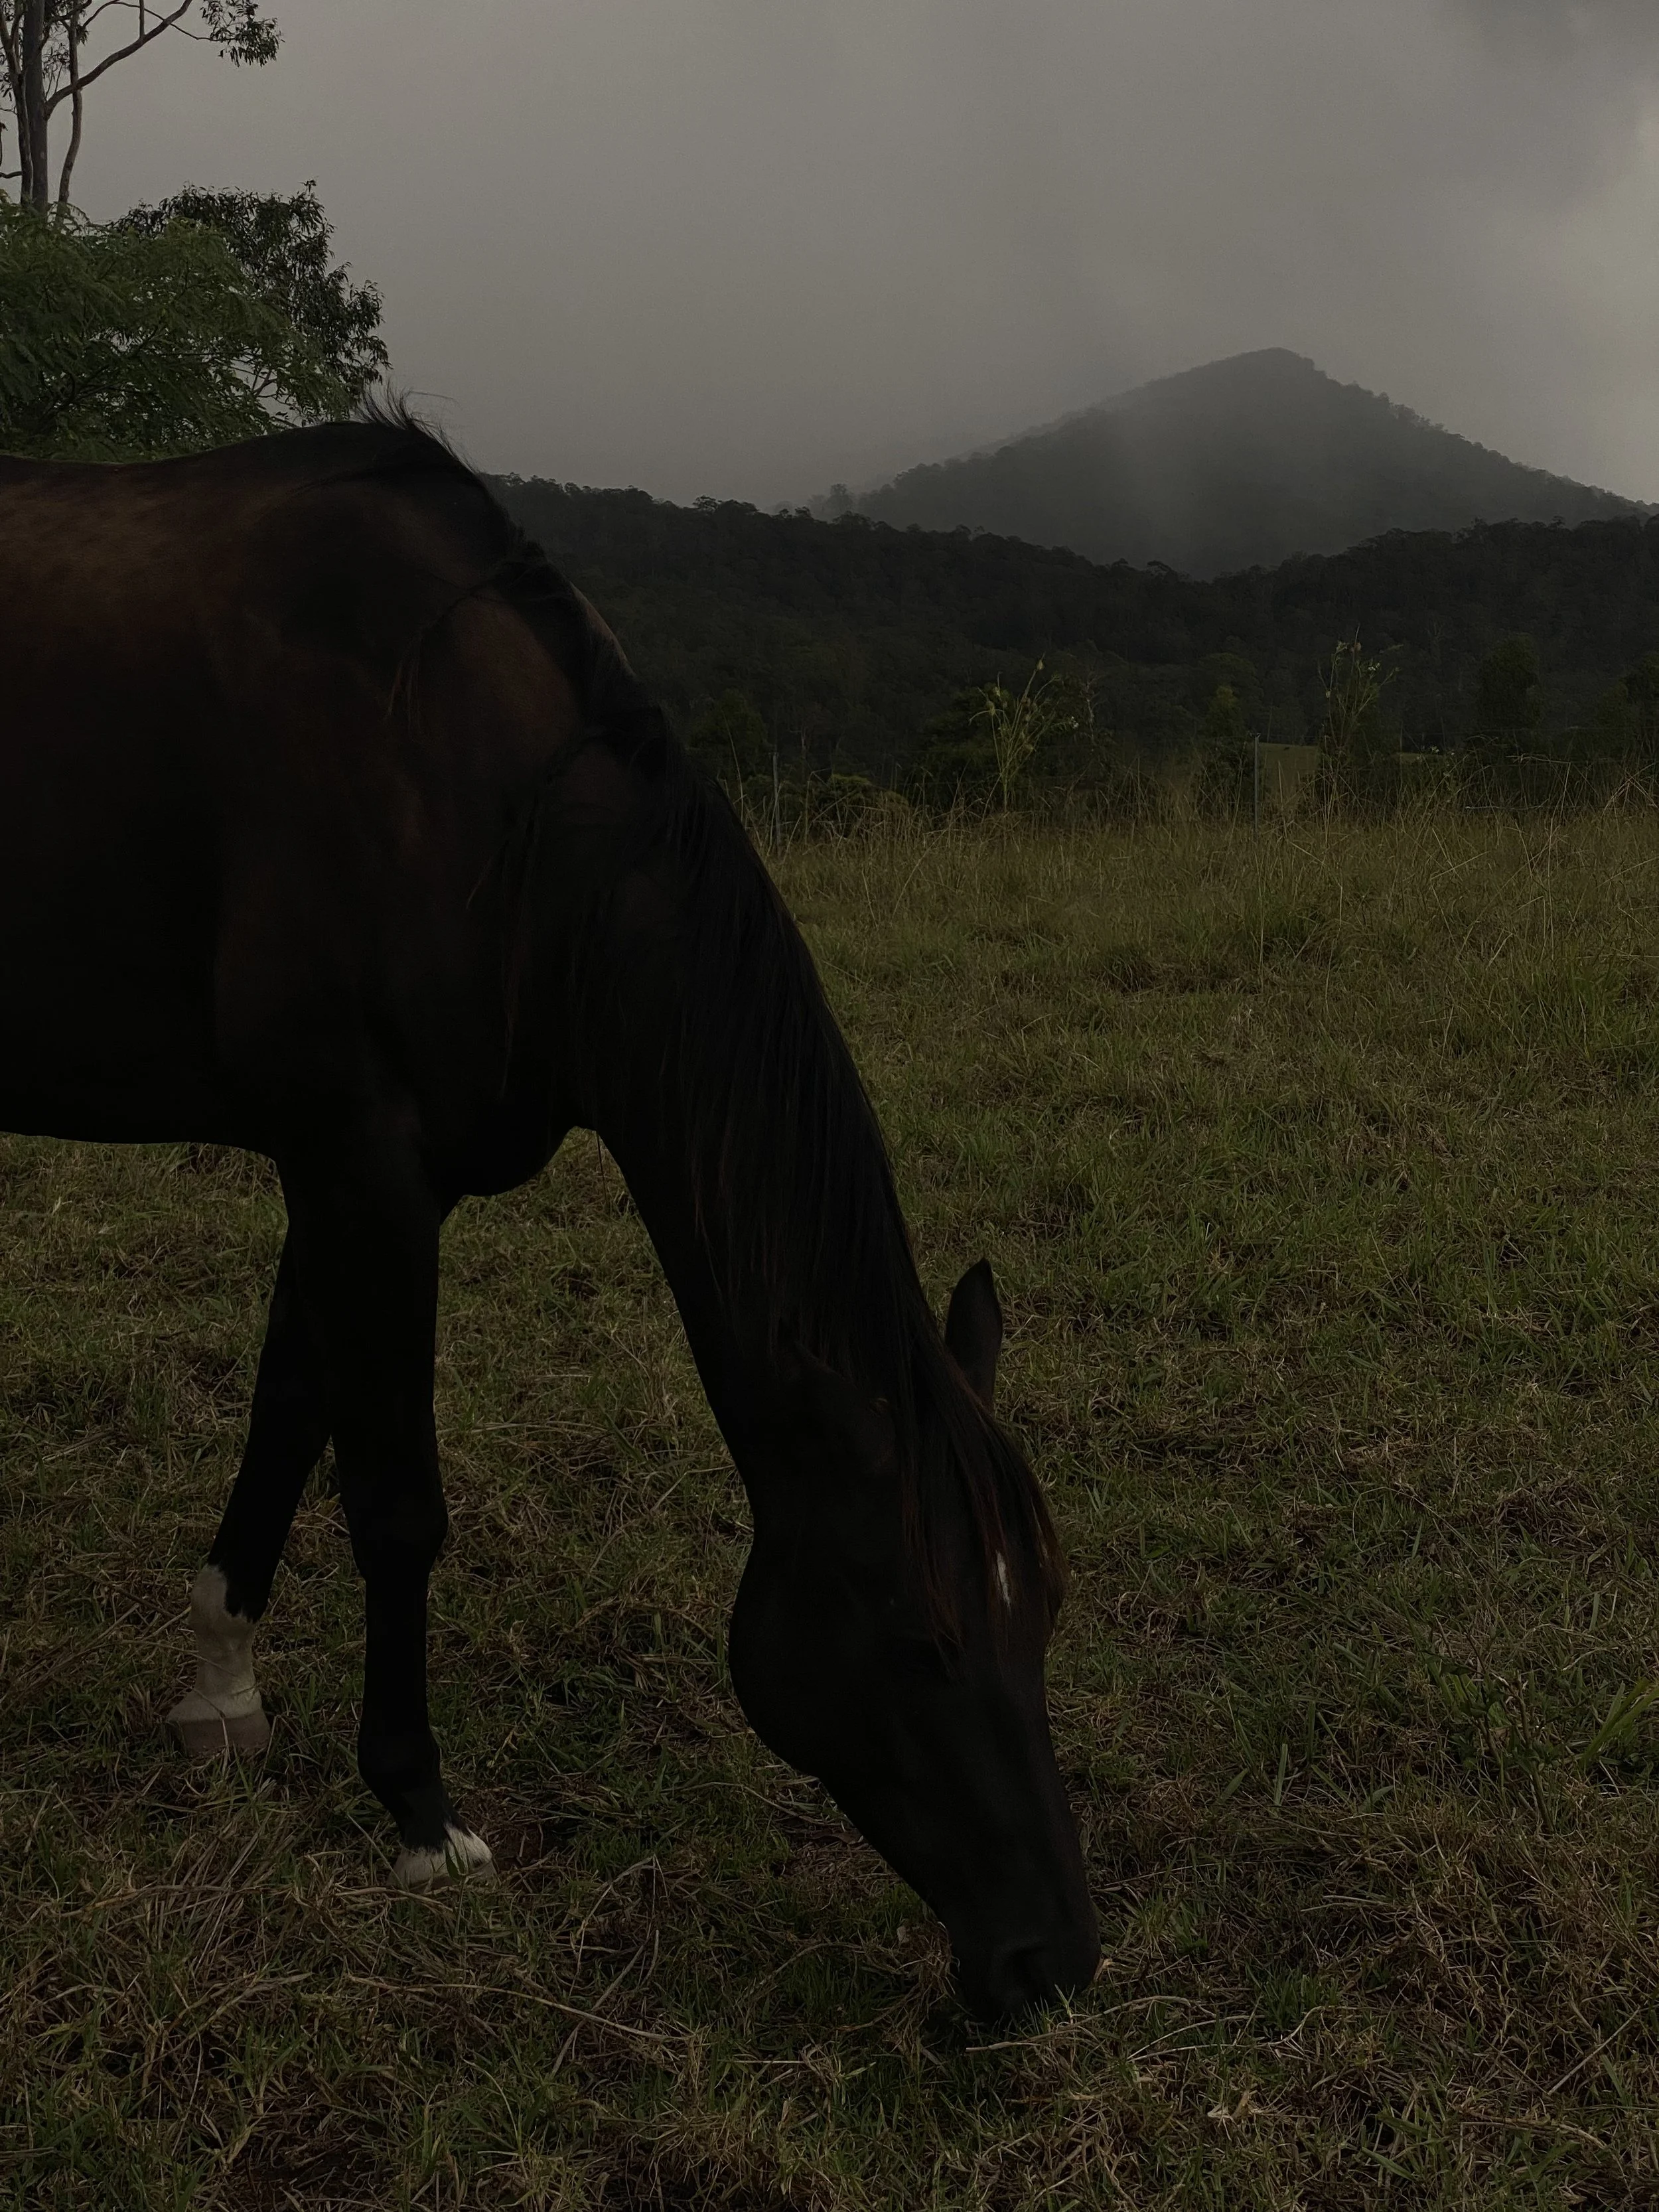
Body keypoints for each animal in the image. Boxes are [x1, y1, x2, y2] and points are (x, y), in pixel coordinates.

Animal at [0, 414, 1098, 2021]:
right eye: (919, 1633)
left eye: (1046, 1610)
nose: (1052, 1961)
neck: (467, 795)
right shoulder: (362, 1168)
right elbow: (396, 1500)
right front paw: (415, 1809)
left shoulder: (345, 1178)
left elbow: (287, 1419)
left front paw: (220, 1690)